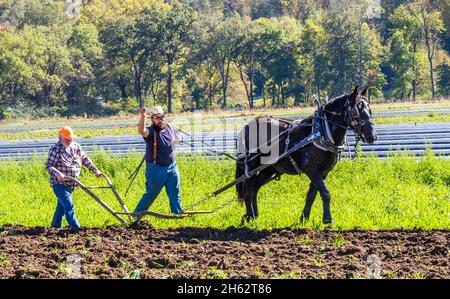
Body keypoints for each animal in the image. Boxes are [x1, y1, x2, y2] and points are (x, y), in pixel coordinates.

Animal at [236, 86, 376, 225]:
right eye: (356, 112)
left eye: (369, 110)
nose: (372, 136)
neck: (322, 132)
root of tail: (247, 126)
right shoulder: (311, 169)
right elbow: (325, 193)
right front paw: (328, 220)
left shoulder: (323, 171)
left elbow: (312, 195)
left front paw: (304, 218)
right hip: (251, 166)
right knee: (248, 191)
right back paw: (250, 216)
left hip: (269, 169)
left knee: (255, 188)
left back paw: (253, 215)